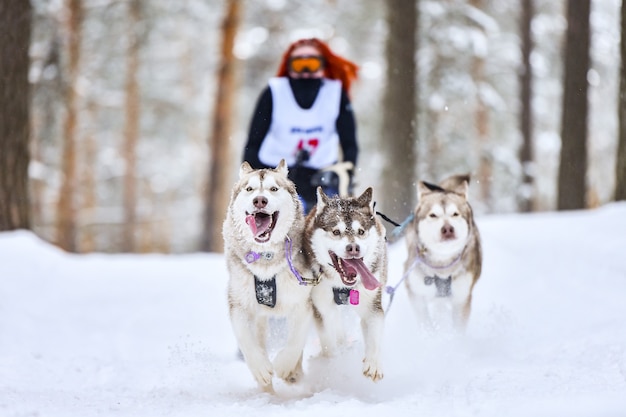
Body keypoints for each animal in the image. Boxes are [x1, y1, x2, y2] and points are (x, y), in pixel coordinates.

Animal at [222, 161, 314, 392]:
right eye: (250, 189)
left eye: (273, 189)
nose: (260, 200)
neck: (266, 258)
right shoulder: (239, 303)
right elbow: (246, 340)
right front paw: (261, 369)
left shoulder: (302, 303)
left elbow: (295, 341)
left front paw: (284, 366)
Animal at [302, 187, 386, 382]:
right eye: (336, 232)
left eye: (361, 232)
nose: (353, 248)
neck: (343, 286)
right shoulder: (322, 309)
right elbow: (329, 344)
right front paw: (333, 365)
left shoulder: (372, 305)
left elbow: (374, 336)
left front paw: (373, 364)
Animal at [402, 175, 480, 332]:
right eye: (433, 215)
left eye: (455, 214)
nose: (448, 229)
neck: (442, 263)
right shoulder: (416, 295)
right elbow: (425, 324)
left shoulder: (462, 298)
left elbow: (458, 329)